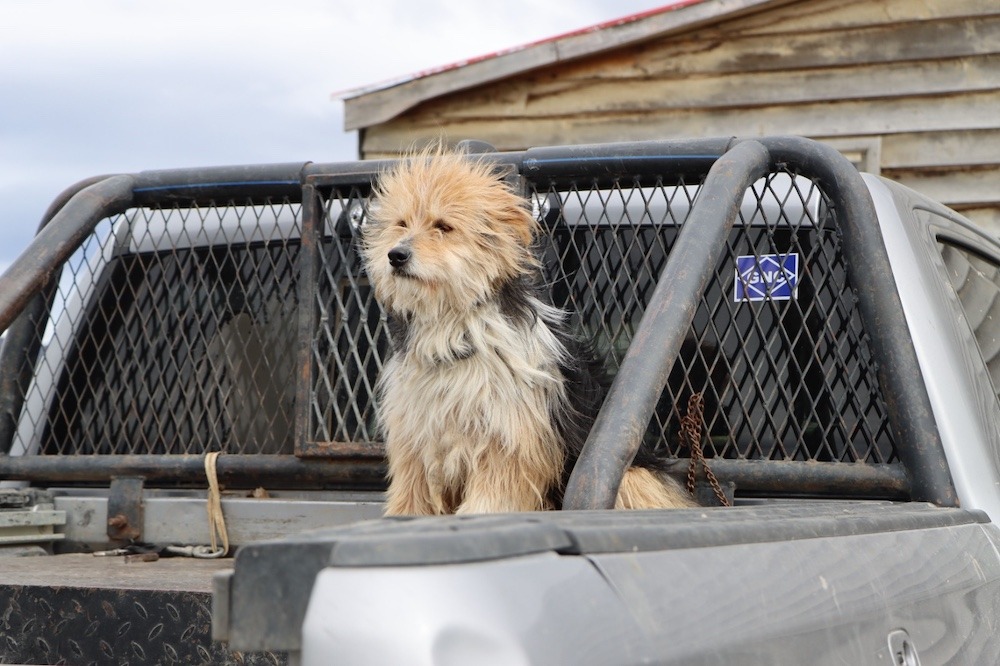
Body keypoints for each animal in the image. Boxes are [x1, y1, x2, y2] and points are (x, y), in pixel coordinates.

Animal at [362, 149, 696, 512]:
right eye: (401, 224)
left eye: (443, 226)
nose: (396, 255)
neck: (453, 326)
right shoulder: (416, 440)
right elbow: (410, 499)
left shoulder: (507, 442)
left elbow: (489, 500)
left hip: (631, 479)